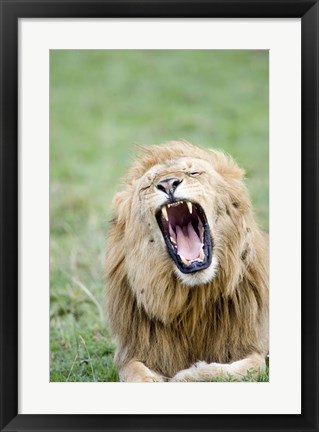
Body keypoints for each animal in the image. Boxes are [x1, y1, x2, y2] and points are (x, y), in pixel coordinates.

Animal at [106, 139, 268, 382]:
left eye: (193, 172)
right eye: (148, 185)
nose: (168, 184)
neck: (193, 299)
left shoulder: (255, 348)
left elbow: (235, 369)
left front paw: (186, 376)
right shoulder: (133, 353)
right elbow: (137, 374)